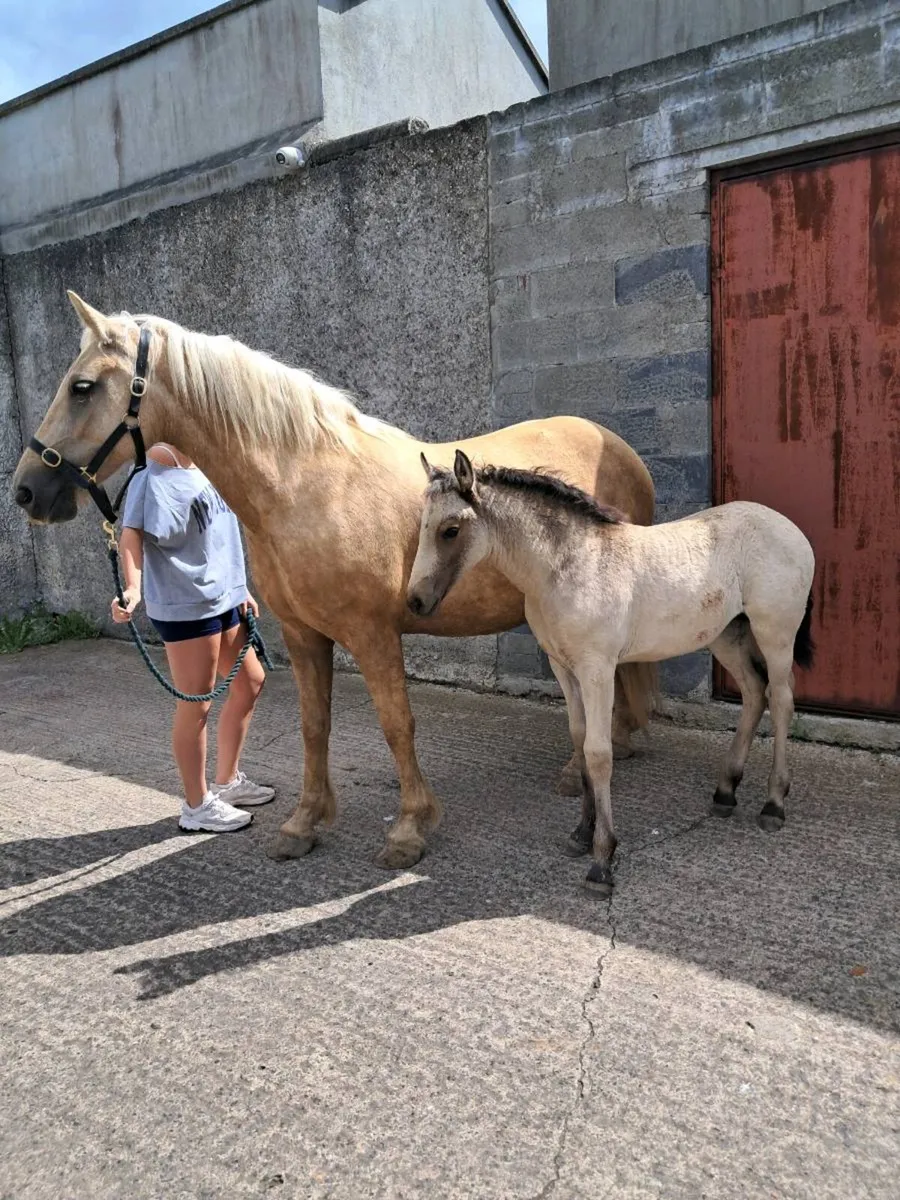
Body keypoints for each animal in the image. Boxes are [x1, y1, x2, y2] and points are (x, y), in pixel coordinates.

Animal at [11, 292, 658, 869]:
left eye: (82, 387)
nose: (27, 492)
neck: (306, 485)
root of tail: (617, 446)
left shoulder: (372, 634)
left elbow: (397, 724)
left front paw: (409, 829)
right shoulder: (304, 636)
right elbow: (313, 726)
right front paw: (304, 824)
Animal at [407, 450, 816, 895]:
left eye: (450, 530)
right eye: (423, 525)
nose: (415, 601)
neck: (567, 568)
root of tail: (788, 527)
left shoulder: (597, 669)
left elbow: (599, 753)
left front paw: (602, 860)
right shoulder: (564, 669)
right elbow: (579, 739)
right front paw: (581, 834)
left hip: (775, 634)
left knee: (781, 700)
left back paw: (774, 804)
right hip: (727, 635)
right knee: (754, 693)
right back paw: (725, 792)